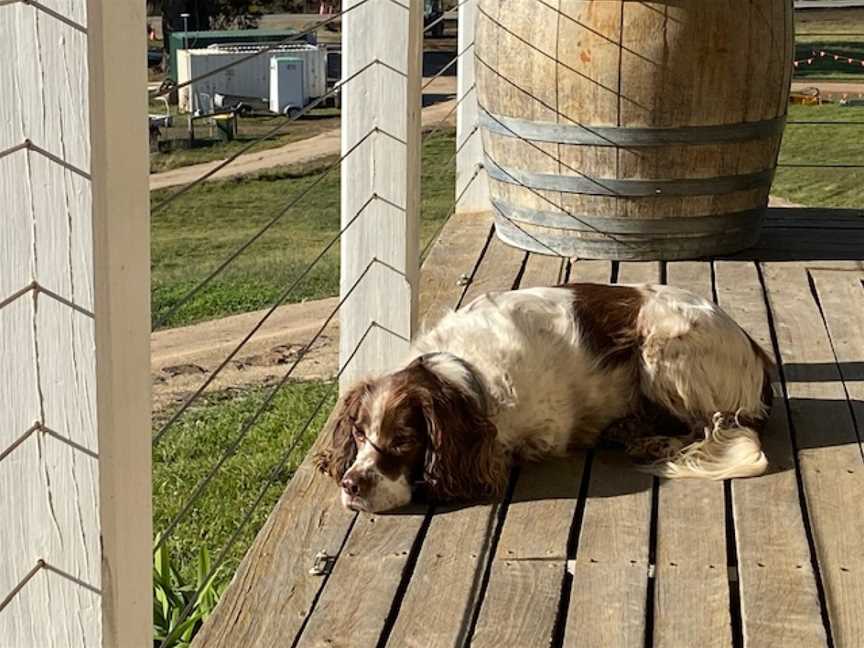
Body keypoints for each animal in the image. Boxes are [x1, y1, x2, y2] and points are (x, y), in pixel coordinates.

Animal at [314, 282, 772, 512]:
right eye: (358, 434)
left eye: (405, 441)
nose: (351, 485)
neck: (464, 371)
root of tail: (754, 350)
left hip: (663, 345)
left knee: (708, 424)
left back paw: (652, 440)